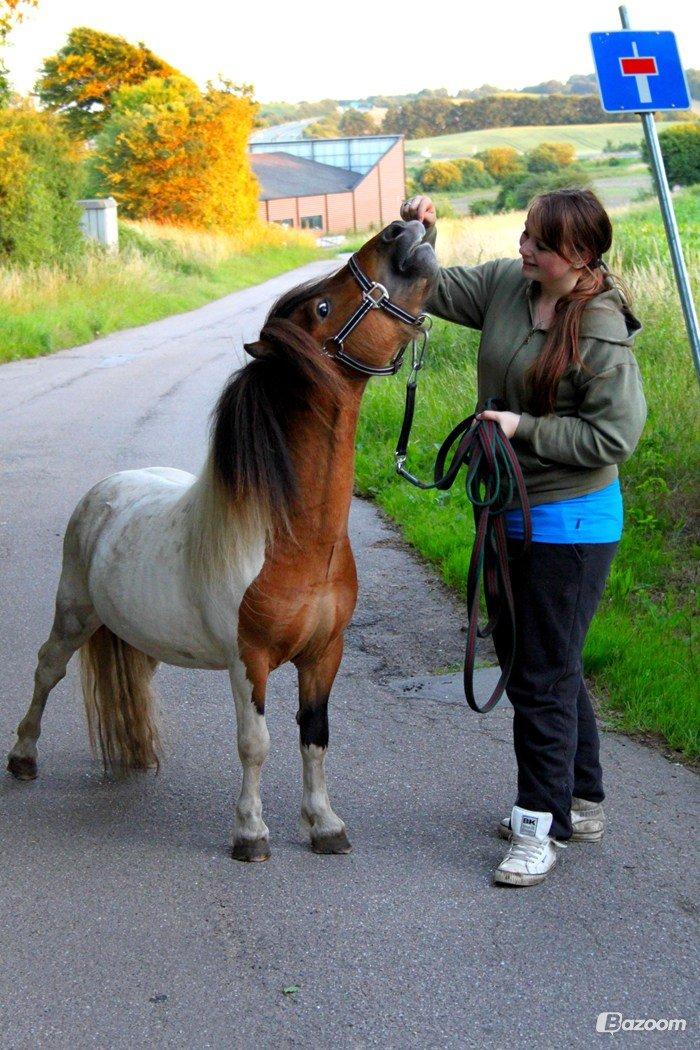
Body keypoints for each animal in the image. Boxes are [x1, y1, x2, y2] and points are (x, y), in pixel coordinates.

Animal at [6, 219, 438, 860]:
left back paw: (136, 754)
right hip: (73, 614)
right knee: (46, 669)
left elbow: (315, 737)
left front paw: (325, 824)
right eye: (323, 307)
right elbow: (255, 743)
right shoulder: (248, 660)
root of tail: (108, 488)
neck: (291, 541)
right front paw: (250, 833)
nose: (403, 229)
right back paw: (23, 756)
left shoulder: (324, 654)